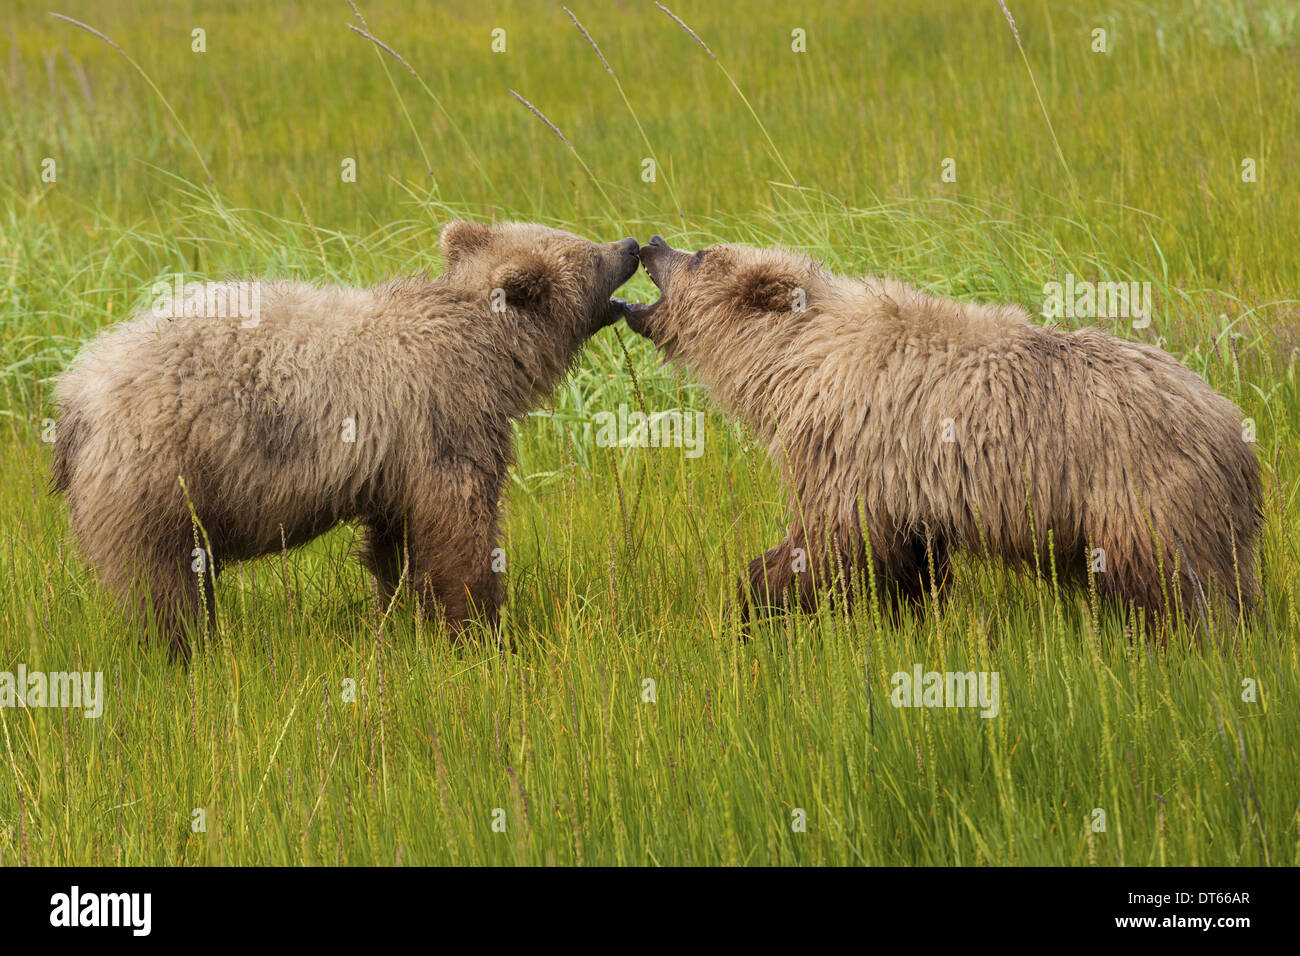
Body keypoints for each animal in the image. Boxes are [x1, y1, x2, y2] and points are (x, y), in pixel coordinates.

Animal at [53, 222, 642, 658]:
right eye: (589, 255)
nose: (633, 245)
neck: (487, 351)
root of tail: (76, 391)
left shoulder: (396, 459)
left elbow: (395, 540)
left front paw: (406, 612)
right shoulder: (446, 421)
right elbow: (459, 530)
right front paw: (482, 631)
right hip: (159, 474)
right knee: (165, 580)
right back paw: (188, 650)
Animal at [626, 235, 1258, 632]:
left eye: (699, 254)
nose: (650, 242)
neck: (796, 363)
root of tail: (1231, 423)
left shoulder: (852, 447)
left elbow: (831, 539)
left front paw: (754, 596)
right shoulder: (908, 484)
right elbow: (908, 557)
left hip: (1141, 490)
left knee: (1173, 585)